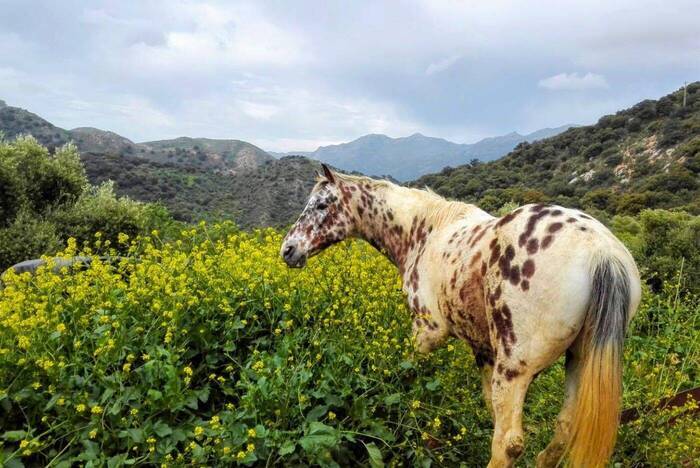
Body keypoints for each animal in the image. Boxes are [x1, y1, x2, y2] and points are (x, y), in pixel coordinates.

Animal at [281, 164, 641, 467]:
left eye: (322, 205)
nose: (288, 250)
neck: (424, 233)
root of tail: (601, 253)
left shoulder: (426, 333)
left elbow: (416, 384)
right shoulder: (483, 350)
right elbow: (489, 406)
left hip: (515, 369)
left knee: (508, 444)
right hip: (577, 358)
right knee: (564, 427)